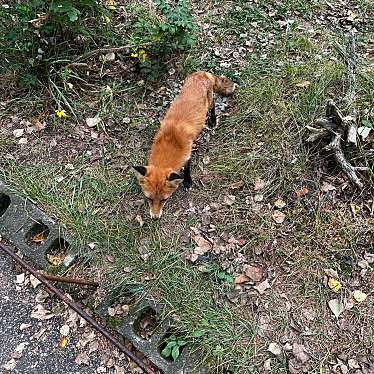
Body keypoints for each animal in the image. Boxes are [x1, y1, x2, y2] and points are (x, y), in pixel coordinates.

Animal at [133, 71, 235, 219]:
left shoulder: (187, 153)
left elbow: (187, 169)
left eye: (164, 200)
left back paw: (212, 120)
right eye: (149, 199)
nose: (155, 218)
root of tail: (202, 73)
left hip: (209, 101)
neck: (170, 142)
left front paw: (187, 181)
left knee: (213, 105)